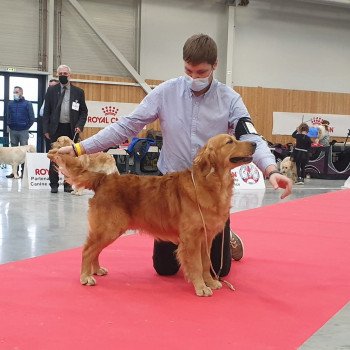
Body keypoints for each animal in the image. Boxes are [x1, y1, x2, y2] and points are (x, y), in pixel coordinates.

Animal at [49, 134, 256, 296]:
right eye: (230, 141)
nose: (254, 142)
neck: (210, 183)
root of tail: (104, 178)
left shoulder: (206, 237)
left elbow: (206, 263)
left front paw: (210, 282)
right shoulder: (191, 238)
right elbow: (197, 264)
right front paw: (201, 287)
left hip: (109, 229)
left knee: (95, 250)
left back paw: (97, 270)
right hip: (109, 228)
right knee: (87, 250)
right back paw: (85, 276)